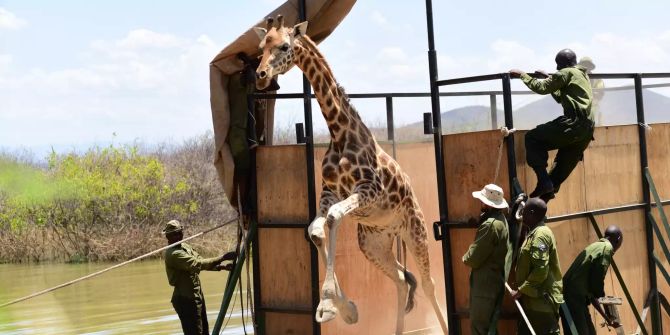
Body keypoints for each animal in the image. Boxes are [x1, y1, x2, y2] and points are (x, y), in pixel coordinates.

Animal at [255, 16, 448, 335]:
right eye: (261, 46)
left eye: (283, 46)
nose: (260, 75)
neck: (339, 132)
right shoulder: (329, 192)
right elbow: (315, 230)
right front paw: (345, 309)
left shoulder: (369, 189)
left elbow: (333, 218)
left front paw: (330, 303)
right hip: (374, 245)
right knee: (400, 280)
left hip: (415, 232)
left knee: (428, 283)